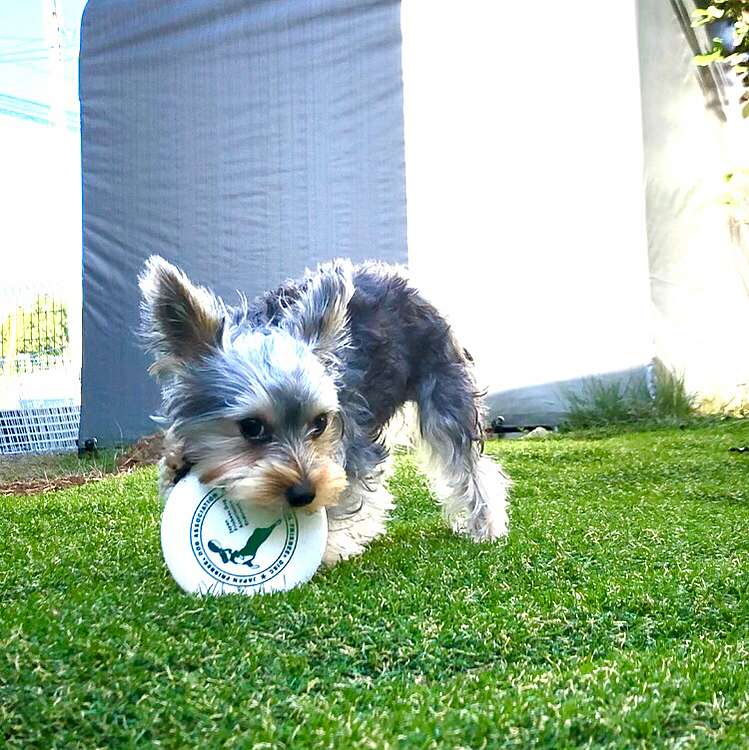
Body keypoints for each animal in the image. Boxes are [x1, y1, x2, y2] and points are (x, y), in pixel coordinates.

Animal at [139, 258, 508, 564]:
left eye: (320, 423)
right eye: (251, 427)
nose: (303, 494)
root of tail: (406, 280)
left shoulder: (353, 442)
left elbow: (347, 496)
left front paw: (326, 550)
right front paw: (176, 466)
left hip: (445, 388)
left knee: (468, 463)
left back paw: (485, 526)